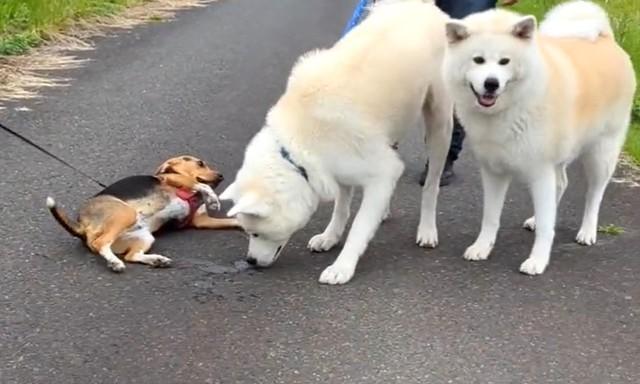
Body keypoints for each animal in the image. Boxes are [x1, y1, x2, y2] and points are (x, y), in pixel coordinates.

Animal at [46, 154, 239, 272]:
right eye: (200, 163)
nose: (221, 176)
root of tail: (82, 226)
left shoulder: (201, 220)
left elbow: (233, 221)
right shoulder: (174, 178)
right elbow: (201, 185)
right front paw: (213, 199)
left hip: (144, 237)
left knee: (131, 255)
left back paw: (156, 260)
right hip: (126, 214)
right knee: (101, 243)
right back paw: (115, 262)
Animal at [222, 0, 452, 284]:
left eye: (255, 233)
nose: (250, 261)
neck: (295, 149)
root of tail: (422, 6)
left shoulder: (382, 171)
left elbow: (359, 228)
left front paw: (342, 266)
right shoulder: (338, 172)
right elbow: (341, 209)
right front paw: (330, 237)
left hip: (440, 125)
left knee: (431, 185)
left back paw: (427, 229)